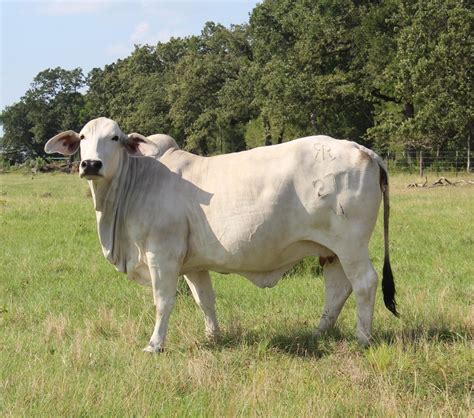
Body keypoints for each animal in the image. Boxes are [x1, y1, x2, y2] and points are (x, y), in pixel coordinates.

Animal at [46, 116, 398, 352]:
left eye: (116, 138)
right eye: (82, 137)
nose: (91, 164)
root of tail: (366, 151)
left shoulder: (162, 254)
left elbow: (163, 301)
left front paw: (155, 344)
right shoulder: (193, 264)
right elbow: (205, 300)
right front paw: (213, 337)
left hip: (351, 244)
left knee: (364, 283)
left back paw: (362, 338)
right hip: (332, 249)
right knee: (337, 288)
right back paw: (318, 332)